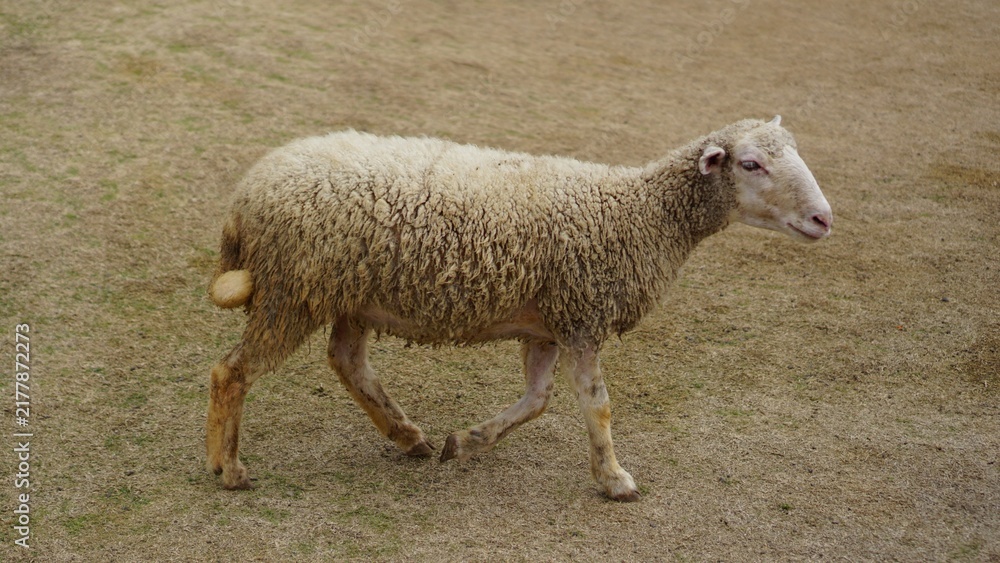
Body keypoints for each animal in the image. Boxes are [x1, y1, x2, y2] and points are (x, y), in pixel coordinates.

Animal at [205, 116, 832, 501]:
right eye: (750, 164)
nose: (824, 218)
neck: (641, 213)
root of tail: (243, 199)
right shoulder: (582, 317)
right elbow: (598, 405)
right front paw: (615, 479)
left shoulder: (549, 327)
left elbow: (537, 401)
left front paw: (466, 442)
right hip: (292, 291)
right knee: (231, 372)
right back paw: (227, 469)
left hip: (346, 296)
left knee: (347, 362)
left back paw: (409, 436)